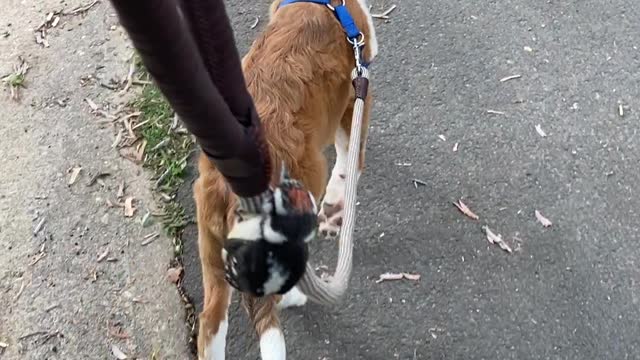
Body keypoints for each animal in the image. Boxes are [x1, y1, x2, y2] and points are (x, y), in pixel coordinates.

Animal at [192, 1, 378, 358]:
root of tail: (233, 190)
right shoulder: (356, 95)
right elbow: (349, 158)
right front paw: (336, 210)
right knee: (274, 297)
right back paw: (295, 296)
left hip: (210, 247)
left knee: (211, 323)